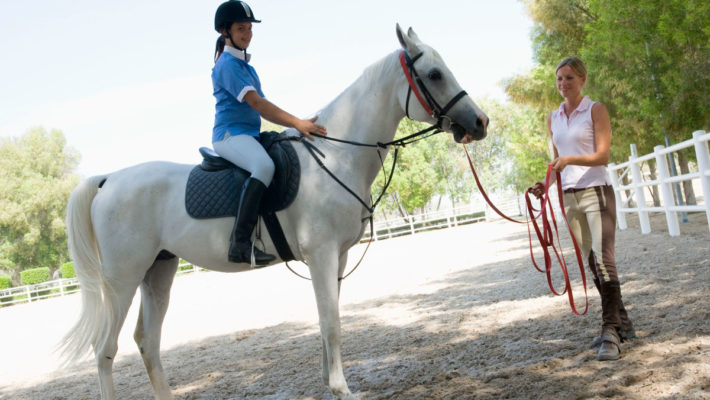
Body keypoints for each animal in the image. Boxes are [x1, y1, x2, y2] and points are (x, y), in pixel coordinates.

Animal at [61, 25, 490, 400]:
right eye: (434, 74)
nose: (480, 122)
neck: (337, 153)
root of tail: (109, 180)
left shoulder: (337, 256)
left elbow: (328, 316)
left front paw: (328, 381)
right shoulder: (321, 253)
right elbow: (331, 321)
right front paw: (341, 389)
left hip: (158, 272)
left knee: (147, 342)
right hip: (123, 280)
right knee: (105, 349)